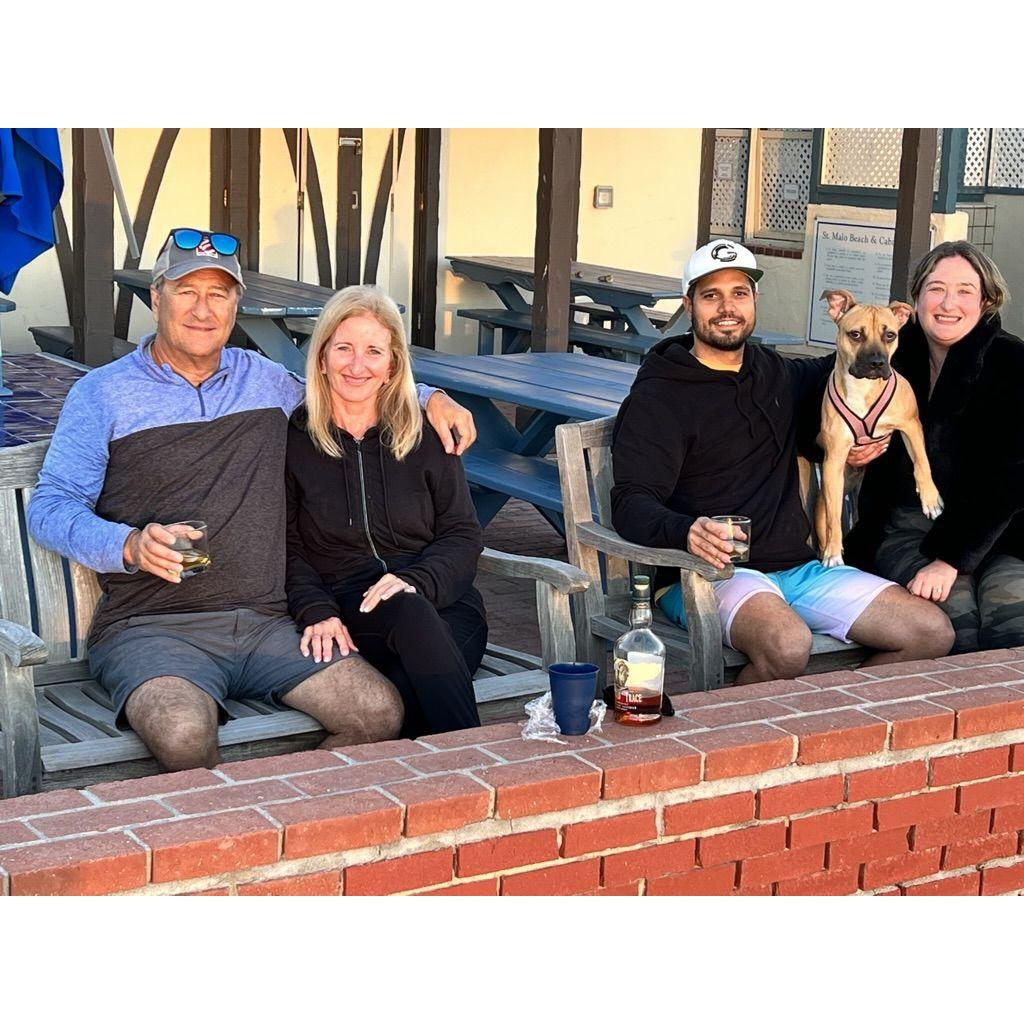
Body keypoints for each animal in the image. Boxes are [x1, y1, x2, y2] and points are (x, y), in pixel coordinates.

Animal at [814, 289, 943, 568]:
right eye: (855, 334)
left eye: (890, 335)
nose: (877, 362)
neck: (863, 387)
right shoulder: (834, 459)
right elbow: (834, 521)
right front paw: (833, 553)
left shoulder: (910, 425)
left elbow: (922, 461)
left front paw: (930, 498)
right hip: (826, 501)